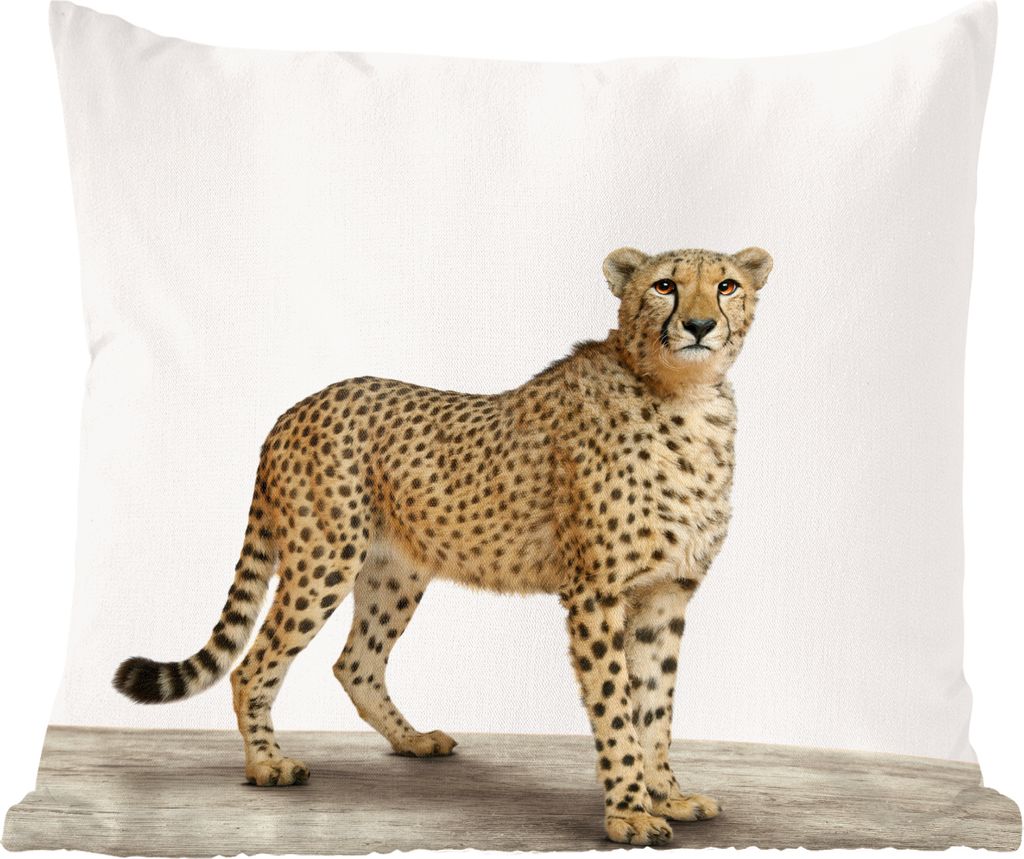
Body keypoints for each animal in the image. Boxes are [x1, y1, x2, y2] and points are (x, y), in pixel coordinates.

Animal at [113, 245, 773, 846]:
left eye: (727, 286)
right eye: (665, 285)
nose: (699, 325)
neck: (684, 397)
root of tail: (295, 409)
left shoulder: (666, 593)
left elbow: (655, 706)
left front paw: (669, 794)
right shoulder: (597, 594)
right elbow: (615, 707)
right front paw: (630, 812)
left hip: (394, 572)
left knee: (355, 662)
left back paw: (412, 741)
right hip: (323, 559)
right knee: (254, 665)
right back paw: (267, 765)